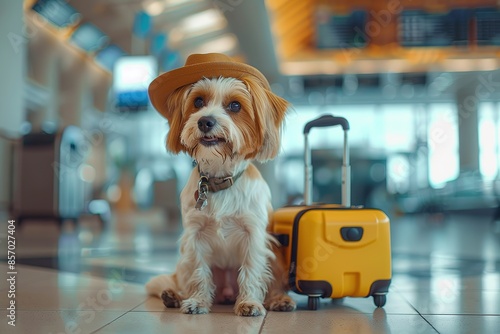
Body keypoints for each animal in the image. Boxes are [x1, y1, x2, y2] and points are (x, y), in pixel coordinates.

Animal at [145, 52, 294, 316]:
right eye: (198, 101)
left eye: (235, 106)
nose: (205, 122)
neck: (219, 179)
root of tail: (226, 292)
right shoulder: (194, 237)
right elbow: (199, 272)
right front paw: (197, 301)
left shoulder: (254, 235)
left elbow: (251, 271)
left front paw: (249, 302)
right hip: (183, 261)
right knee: (185, 278)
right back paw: (175, 296)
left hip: (275, 256)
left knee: (272, 283)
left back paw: (279, 299)